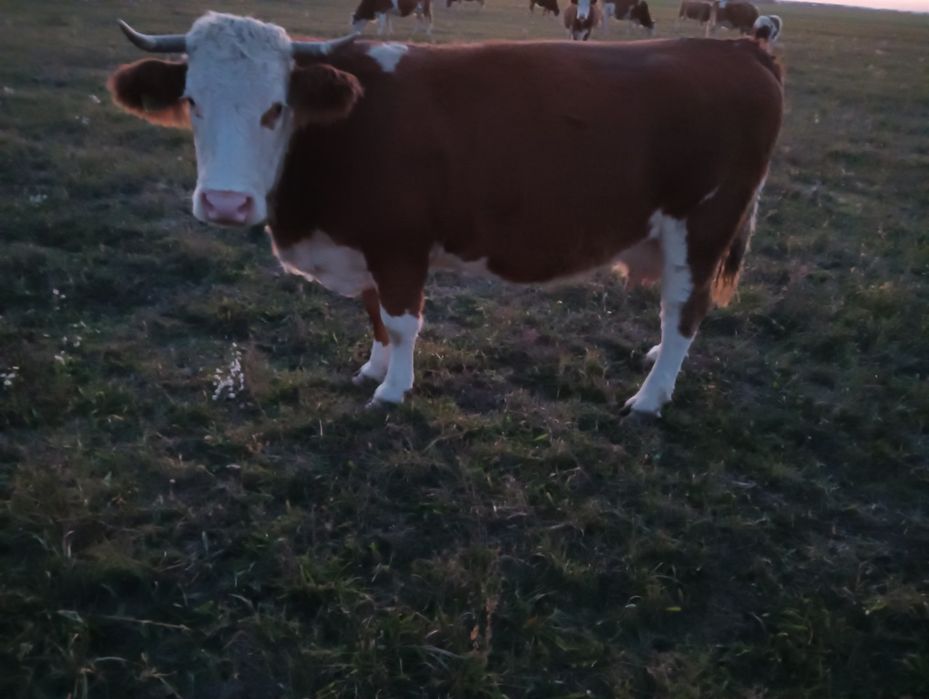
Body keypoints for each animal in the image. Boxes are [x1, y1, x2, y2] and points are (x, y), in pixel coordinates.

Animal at [107, 12, 783, 417]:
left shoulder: (399, 242)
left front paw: (392, 388)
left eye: (276, 108)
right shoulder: (365, 247)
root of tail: (740, 48)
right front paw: (372, 367)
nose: (225, 203)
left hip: (704, 226)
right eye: (192, 100)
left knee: (686, 309)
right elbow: (374, 313)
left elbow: (402, 321)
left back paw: (651, 395)